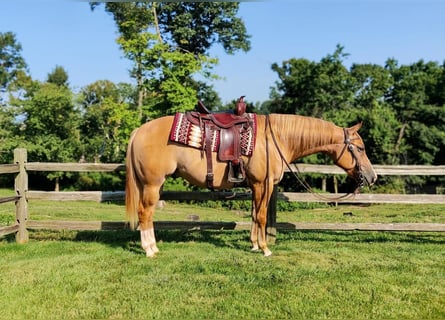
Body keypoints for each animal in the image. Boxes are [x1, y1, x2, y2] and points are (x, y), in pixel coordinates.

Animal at [124, 112, 374, 258]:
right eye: (361, 148)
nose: (372, 177)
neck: (276, 138)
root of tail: (139, 131)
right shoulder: (265, 184)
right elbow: (262, 216)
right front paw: (265, 249)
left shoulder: (255, 185)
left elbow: (254, 214)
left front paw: (253, 245)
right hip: (152, 184)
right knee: (145, 213)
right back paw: (150, 250)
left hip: (153, 185)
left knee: (148, 214)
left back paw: (153, 247)